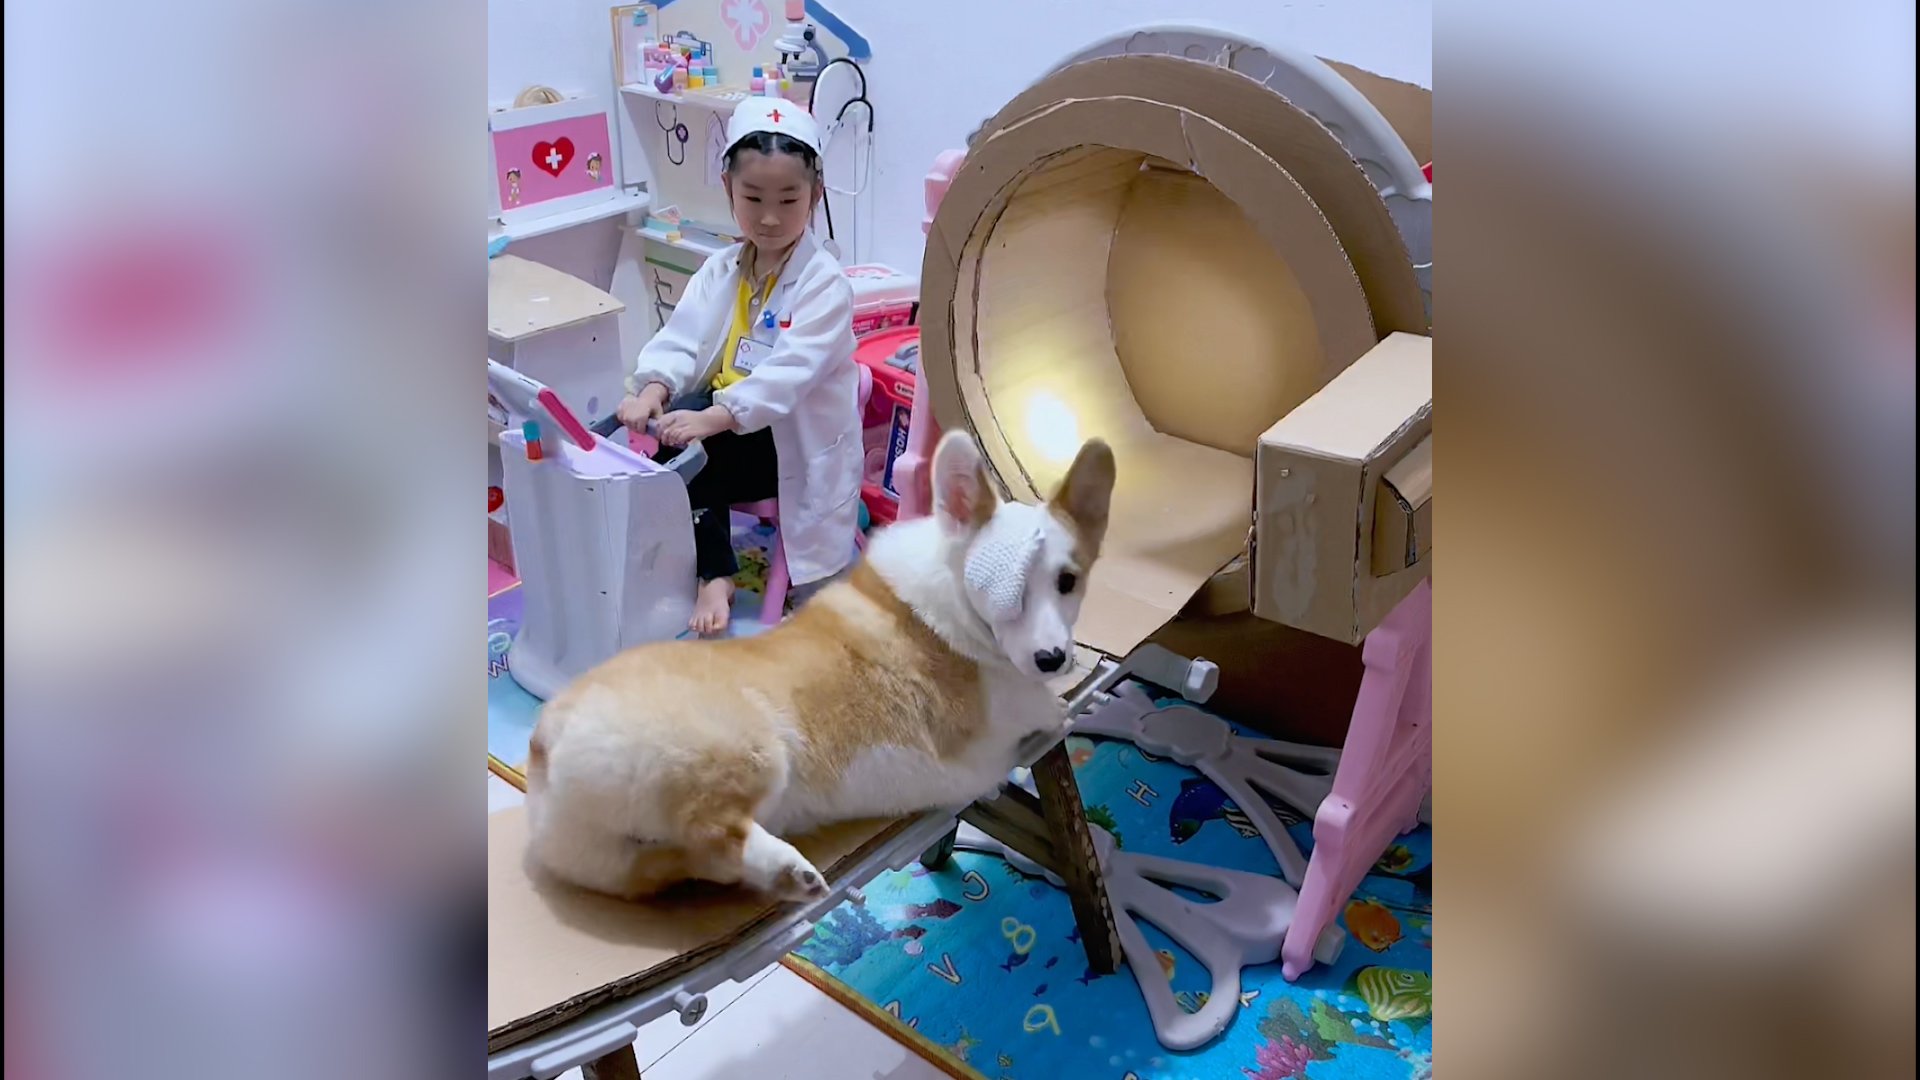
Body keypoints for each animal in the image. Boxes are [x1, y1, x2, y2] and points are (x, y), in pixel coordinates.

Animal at [526, 428, 1121, 899]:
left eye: (1068, 581)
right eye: (1005, 591)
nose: (1052, 658)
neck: (953, 591)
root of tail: (546, 737)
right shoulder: (987, 718)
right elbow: (1035, 706)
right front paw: (1054, 705)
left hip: (621, 863)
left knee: (690, 860)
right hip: (753, 754)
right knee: (714, 829)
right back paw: (787, 869)